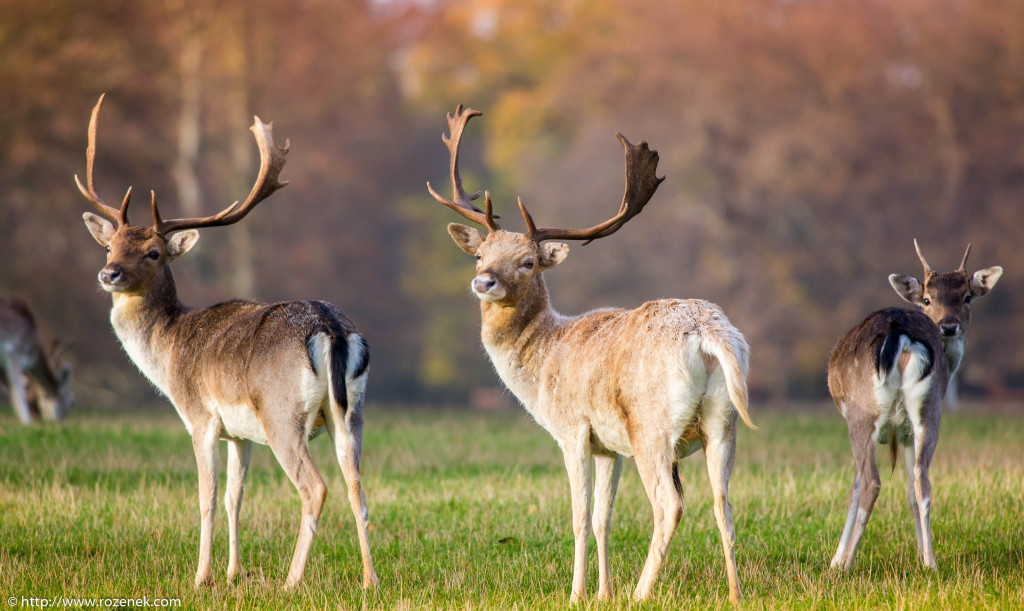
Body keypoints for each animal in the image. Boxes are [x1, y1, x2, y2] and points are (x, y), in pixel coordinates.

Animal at [75, 95, 378, 589]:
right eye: (109, 246)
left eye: (153, 253)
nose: (109, 274)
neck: (169, 349)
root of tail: (330, 329)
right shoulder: (240, 434)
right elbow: (237, 496)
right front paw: (234, 573)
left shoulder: (199, 416)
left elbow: (208, 499)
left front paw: (202, 577)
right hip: (351, 412)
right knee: (358, 488)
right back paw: (370, 580)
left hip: (282, 415)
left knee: (315, 487)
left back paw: (291, 581)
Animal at [428, 105, 757, 601]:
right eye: (480, 253)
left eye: (529, 262)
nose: (484, 281)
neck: (542, 358)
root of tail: (707, 331)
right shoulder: (609, 448)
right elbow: (604, 519)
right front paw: (602, 592)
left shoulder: (572, 430)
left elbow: (581, 518)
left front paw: (577, 593)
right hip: (724, 419)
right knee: (725, 503)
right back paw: (735, 593)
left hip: (651, 425)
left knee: (670, 505)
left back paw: (641, 593)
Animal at [827, 239, 1003, 573]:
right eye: (927, 298)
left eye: (967, 297)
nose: (949, 326)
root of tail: (902, 334)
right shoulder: (907, 433)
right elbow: (910, 491)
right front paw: (922, 553)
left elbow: (854, 487)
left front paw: (836, 559)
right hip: (928, 411)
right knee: (924, 482)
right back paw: (930, 562)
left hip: (862, 416)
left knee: (871, 483)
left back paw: (849, 564)